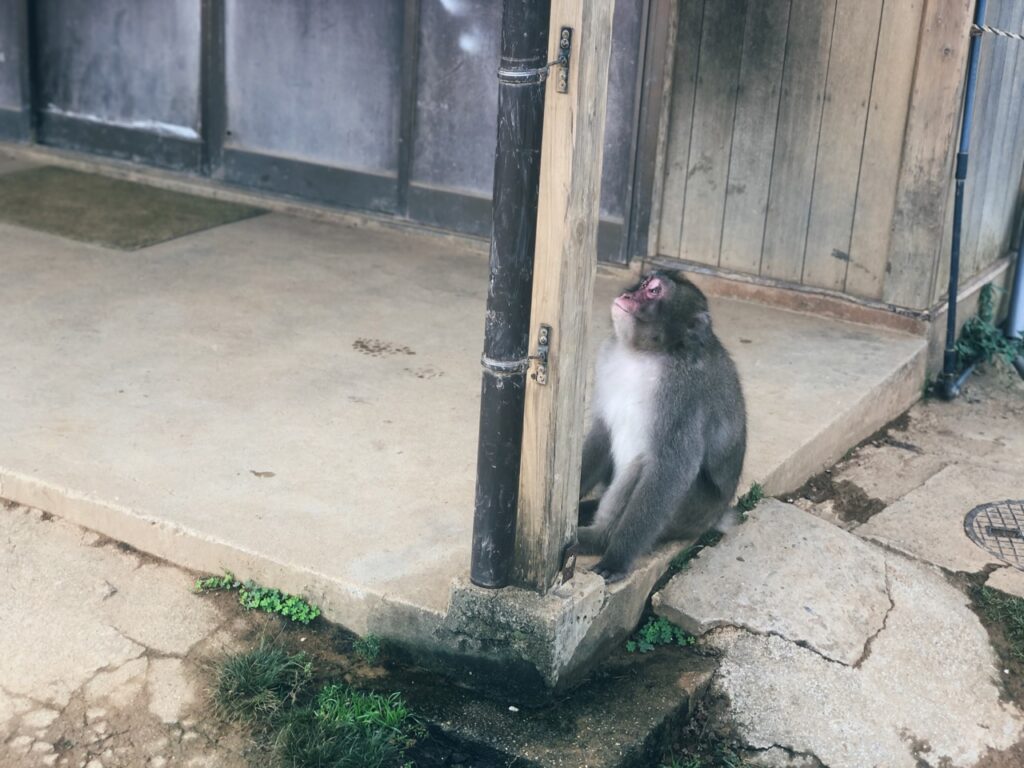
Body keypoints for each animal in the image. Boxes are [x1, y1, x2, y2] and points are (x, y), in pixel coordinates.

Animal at [577, 270, 746, 583]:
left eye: (653, 291)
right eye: (644, 284)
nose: (627, 295)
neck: (646, 353)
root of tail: (717, 516)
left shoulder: (683, 394)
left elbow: (671, 469)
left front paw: (617, 557)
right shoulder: (607, 358)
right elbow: (601, 434)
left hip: (692, 512)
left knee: (642, 467)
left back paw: (598, 539)